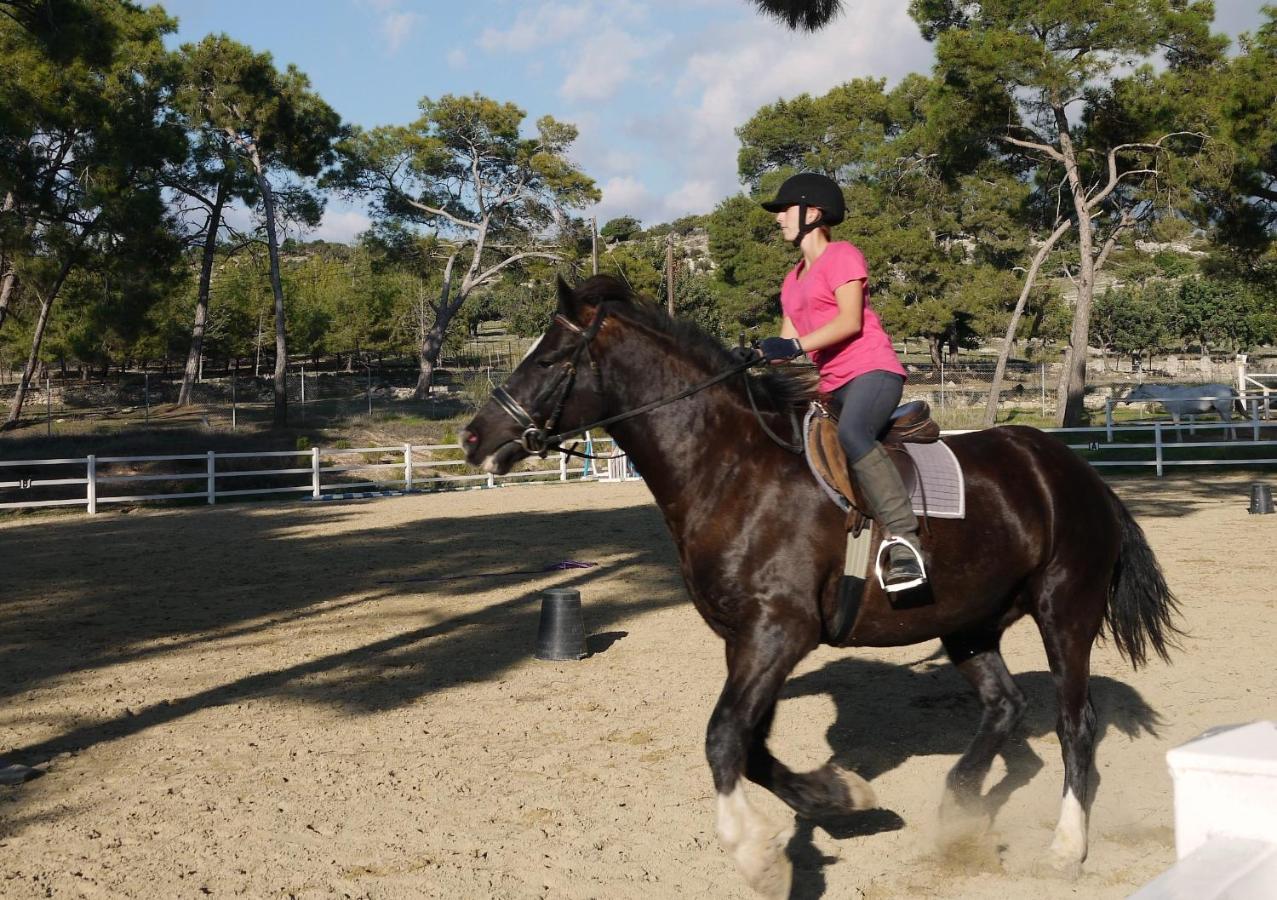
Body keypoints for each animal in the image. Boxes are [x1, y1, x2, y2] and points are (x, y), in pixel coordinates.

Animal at [459, 277, 1174, 893]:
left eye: (551, 358)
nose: (472, 437)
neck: (733, 470)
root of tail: (1074, 470)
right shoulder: (746, 640)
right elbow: (750, 746)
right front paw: (843, 796)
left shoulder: (780, 631)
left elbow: (723, 738)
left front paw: (758, 858)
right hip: (968, 622)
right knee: (1005, 707)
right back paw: (958, 811)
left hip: (1065, 613)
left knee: (1075, 725)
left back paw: (1065, 848)